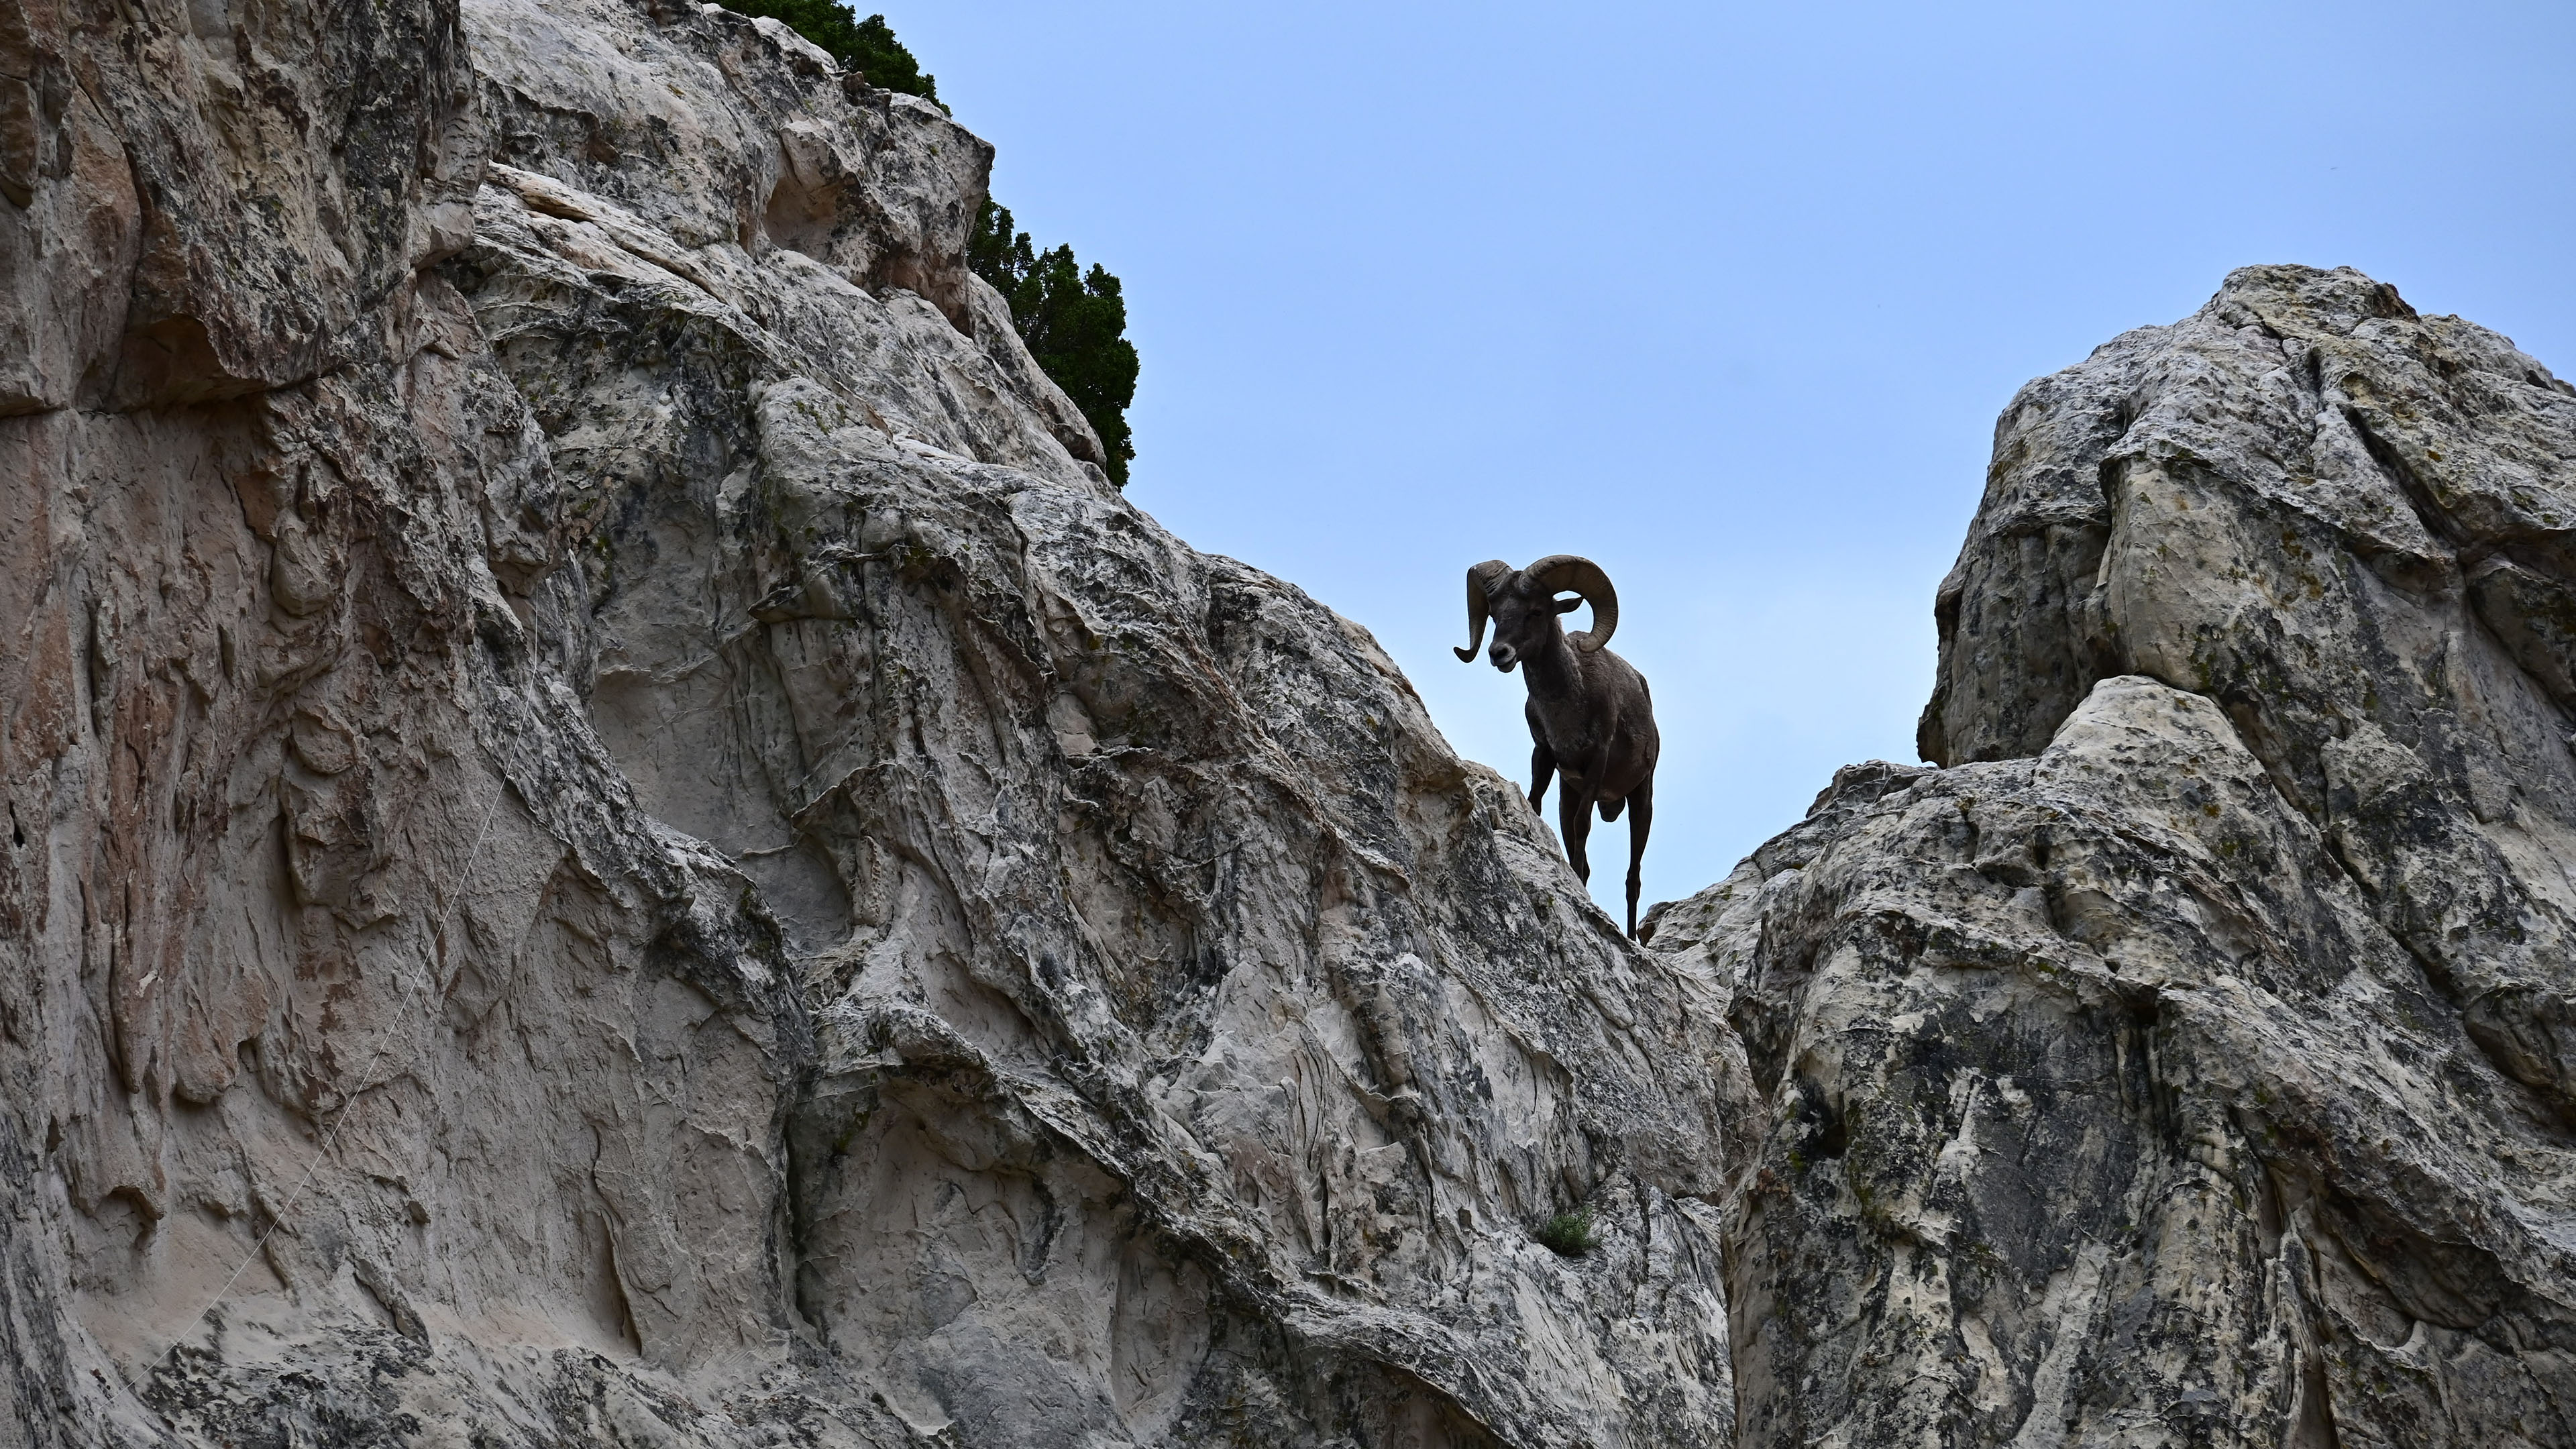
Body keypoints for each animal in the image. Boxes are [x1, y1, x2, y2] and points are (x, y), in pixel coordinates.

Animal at [1463, 551, 1658, 938]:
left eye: (1537, 611)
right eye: (1494, 614)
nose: (1498, 653)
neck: (1569, 705)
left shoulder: (1597, 762)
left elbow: (1584, 827)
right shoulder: (1546, 756)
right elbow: (1536, 805)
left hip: (1641, 799)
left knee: (1633, 879)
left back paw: (1633, 938)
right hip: (1568, 794)